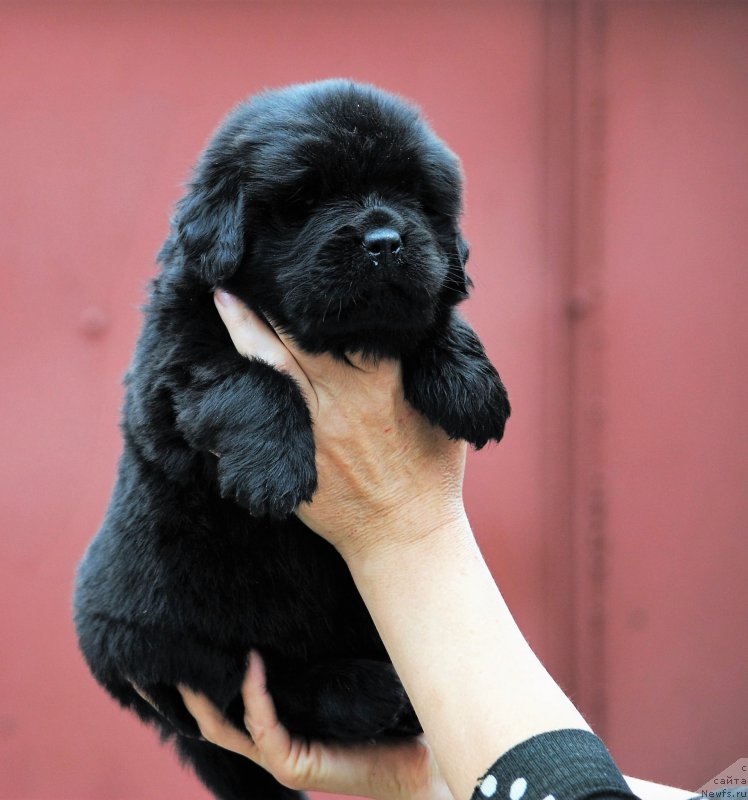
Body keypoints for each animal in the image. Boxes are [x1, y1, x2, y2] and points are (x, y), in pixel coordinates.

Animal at [74, 76, 508, 800]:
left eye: (415, 196)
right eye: (304, 200)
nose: (385, 240)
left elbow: (433, 316)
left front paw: (472, 384)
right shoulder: (170, 371)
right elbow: (245, 376)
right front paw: (274, 470)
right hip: (175, 639)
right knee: (264, 693)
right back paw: (368, 693)